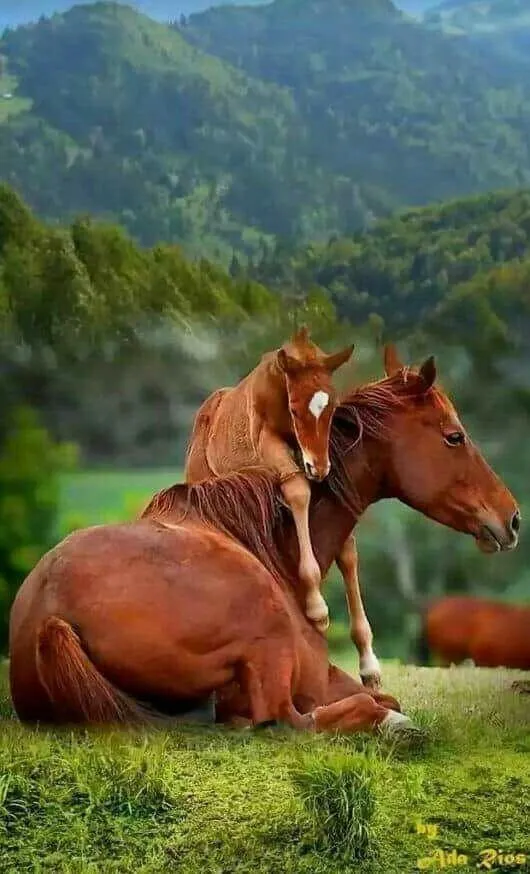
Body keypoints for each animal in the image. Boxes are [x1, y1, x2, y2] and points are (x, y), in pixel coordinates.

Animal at [184, 326, 352, 628]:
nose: (318, 467)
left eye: (332, 408)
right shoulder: (267, 441)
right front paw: (317, 607)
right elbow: (298, 490)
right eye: (295, 409)